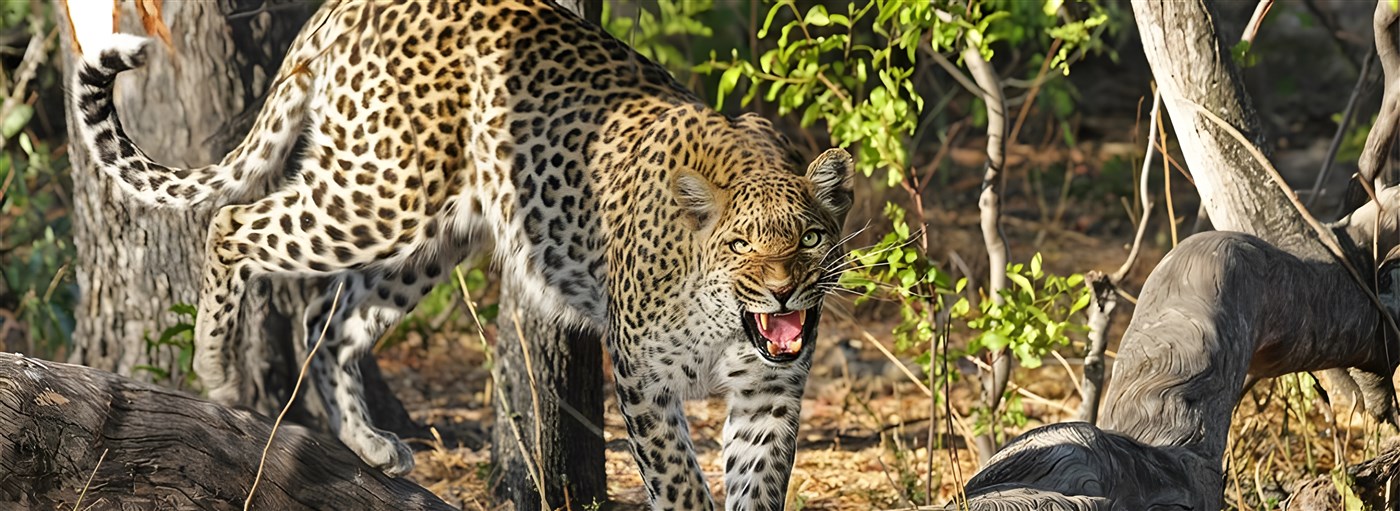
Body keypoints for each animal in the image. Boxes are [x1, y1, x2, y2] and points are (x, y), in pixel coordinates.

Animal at [69, 1, 854, 509]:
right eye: (741, 245)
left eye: (811, 238)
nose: (783, 292)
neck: (727, 318)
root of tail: (344, 7)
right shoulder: (642, 377)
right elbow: (682, 484)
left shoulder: (770, 394)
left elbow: (758, 482)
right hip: (378, 194)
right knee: (233, 222)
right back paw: (217, 369)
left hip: (430, 238)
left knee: (326, 318)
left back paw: (370, 444)